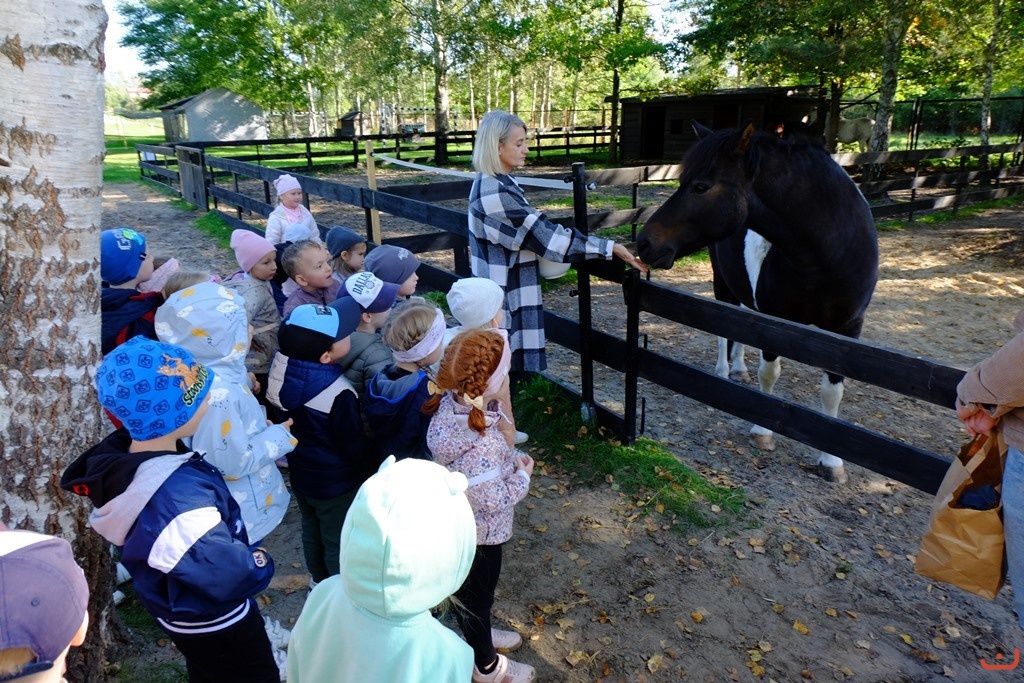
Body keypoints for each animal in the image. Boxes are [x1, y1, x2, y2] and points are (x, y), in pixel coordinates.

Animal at [636, 122, 878, 484]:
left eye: (700, 186)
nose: (644, 242)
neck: (828, 251)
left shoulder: (847, 331)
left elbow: (832, 392)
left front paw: (831, 461)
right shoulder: (775, 322)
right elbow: (769, 374)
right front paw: (762, 432)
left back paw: (738, 367)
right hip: (722, 284)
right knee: (725, 329)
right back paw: (724, 371)